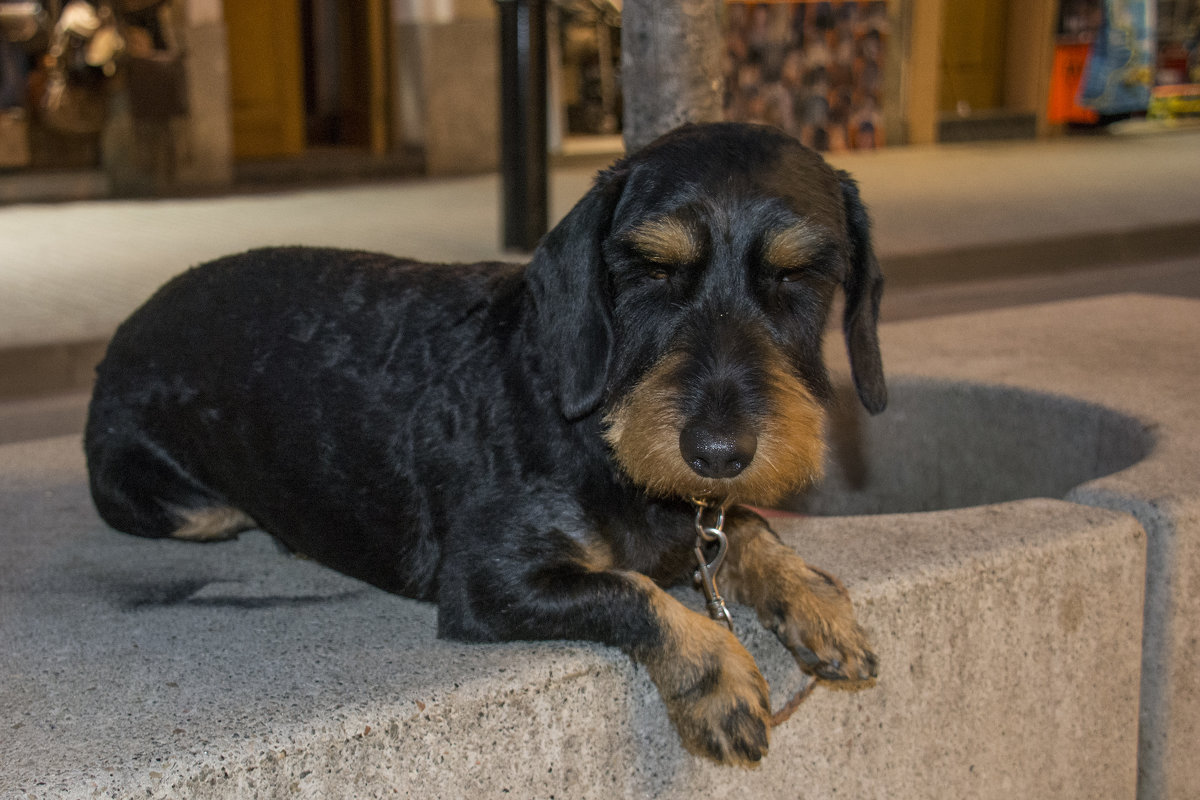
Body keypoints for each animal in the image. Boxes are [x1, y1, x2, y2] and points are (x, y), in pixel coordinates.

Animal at [87, 122, 883, 767]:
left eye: (798, 275)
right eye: (652, 270)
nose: (719, 453)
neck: (592, 428)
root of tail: (126, 328)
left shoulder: (701, 513)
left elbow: (743, 530)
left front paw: (817, 598)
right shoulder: (489, 582)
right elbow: (634, 589)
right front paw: (717, 676)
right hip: (181, 503)